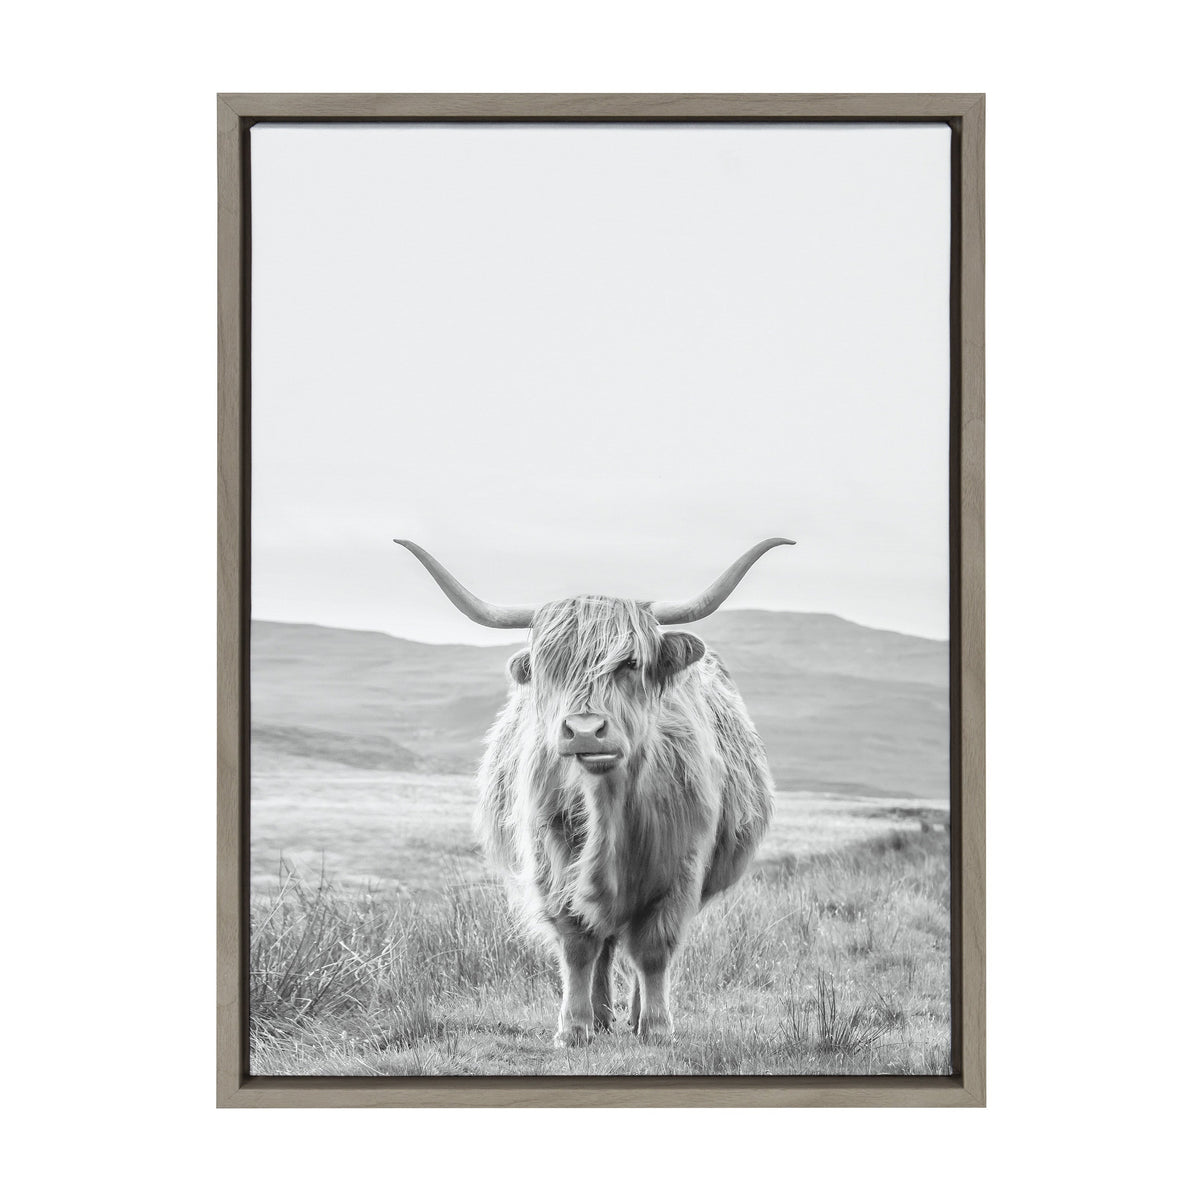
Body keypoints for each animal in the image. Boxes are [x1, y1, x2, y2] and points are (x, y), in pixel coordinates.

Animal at [394, 538, 791, 1046]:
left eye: (630, 663)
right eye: (549, 666)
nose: (584, 731)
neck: (608, 809)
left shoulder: (681, 868)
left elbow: (654, 948)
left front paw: (657, 1027)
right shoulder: (551, 860)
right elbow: (578, 943)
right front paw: (574, 1027)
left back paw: (637, 1013)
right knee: (602, 942)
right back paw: (601, 1015)